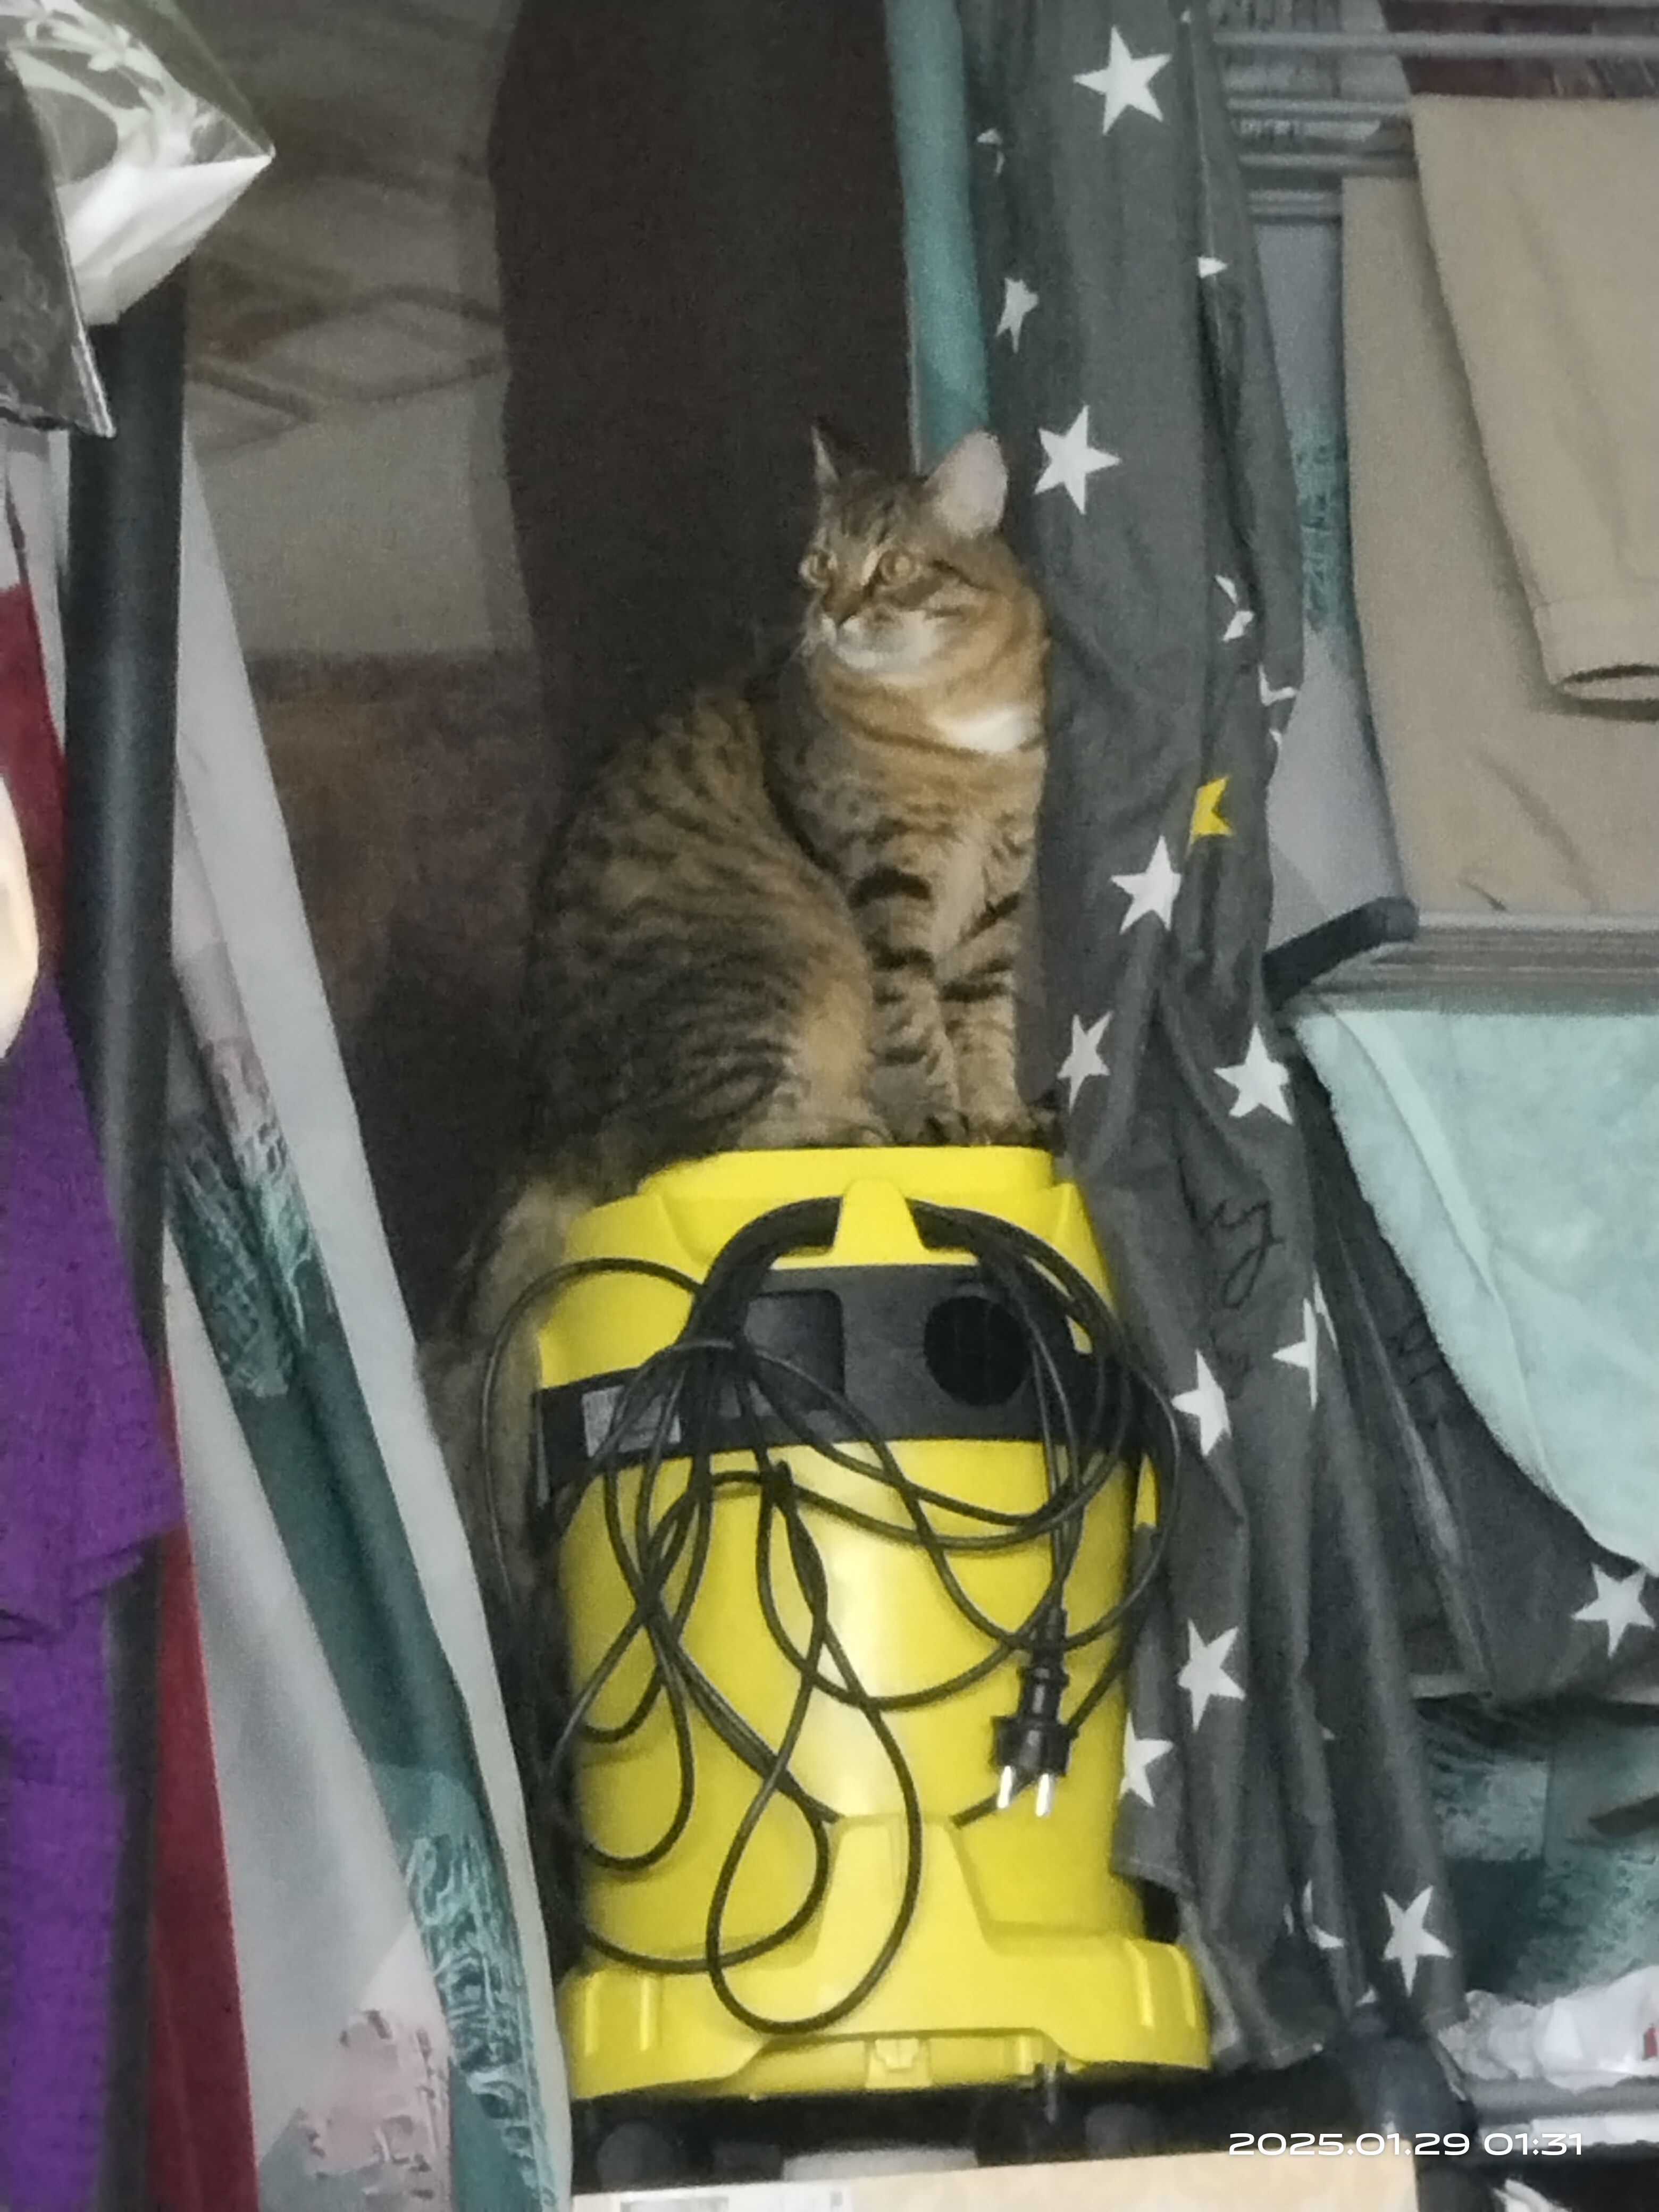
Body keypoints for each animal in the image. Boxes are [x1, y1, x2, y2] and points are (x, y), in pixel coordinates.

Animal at [424, 425, 1050, 1623]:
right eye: (818, 566)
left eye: (893, 567)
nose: (834, 616)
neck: (953, 715)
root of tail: (544, 1126)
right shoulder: (886, 892)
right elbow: (922, 1032)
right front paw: (945, 1122)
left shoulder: (999, 894)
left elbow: (988, 1027)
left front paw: (1002, 1115)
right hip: (768, 984)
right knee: (701, 1141)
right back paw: (846, 1128)